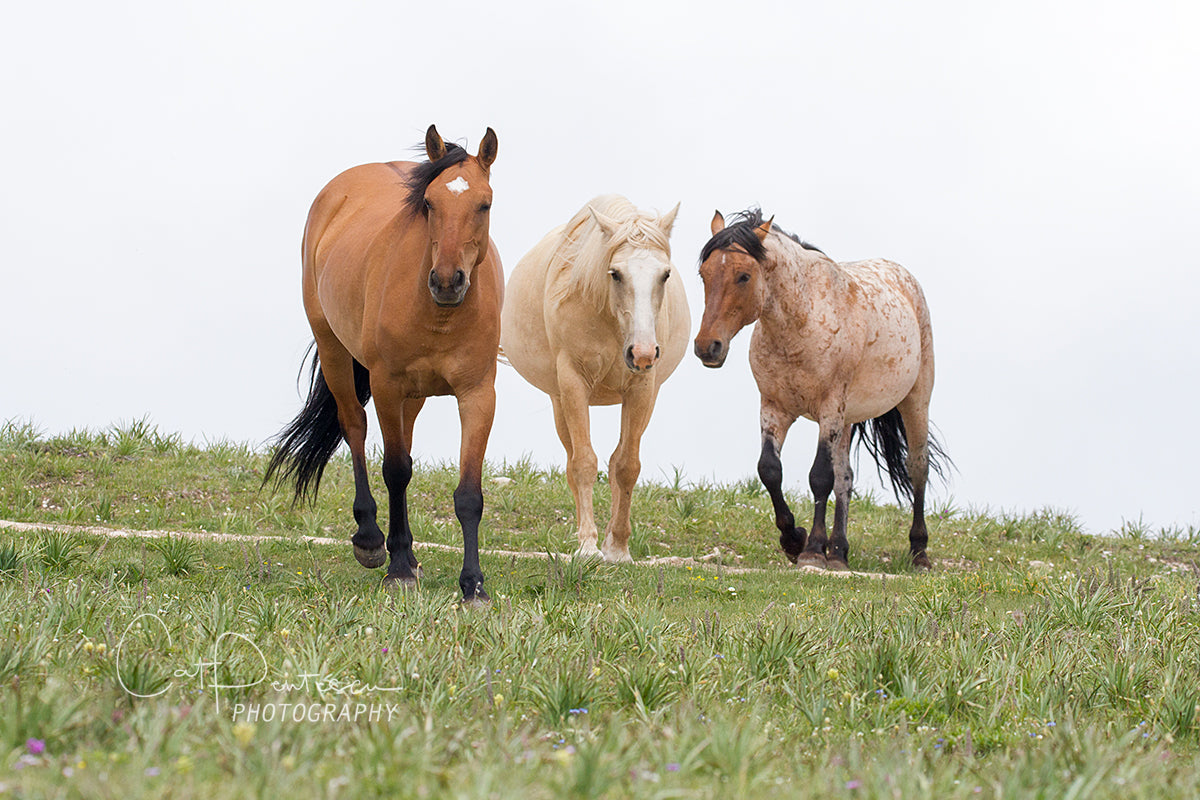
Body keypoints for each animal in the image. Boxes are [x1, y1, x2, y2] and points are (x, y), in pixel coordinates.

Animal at [264, 123, 501, 599]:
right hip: (335, 350)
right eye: (429, 203)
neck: (440, 315)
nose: (446, 281)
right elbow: (395, 471)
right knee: (355, 426)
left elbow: (469, 494)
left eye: (483, 204)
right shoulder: (387, 384)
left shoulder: (478, 394)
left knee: (402, 444)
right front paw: (397, 569)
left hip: (415, 394)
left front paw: (473, 585)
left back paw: (408, 552)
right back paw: (374, 540)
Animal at [499, 196, 691, 561]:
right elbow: (584, 463)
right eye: (615, 274)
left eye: (665, 274)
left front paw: (617, 547)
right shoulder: (573, 383)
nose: (643, 353)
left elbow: (626, 466)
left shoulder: (641, 388)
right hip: (559, 401)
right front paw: (588, 546)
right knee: (573, 461)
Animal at [696, 206, 945, 568]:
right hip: (848, 418)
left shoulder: (829, 409)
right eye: (704, 274)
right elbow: (770, 470)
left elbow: (820, 477)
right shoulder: (774, 408)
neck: (802, 322)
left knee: (917, 468)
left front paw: (812, 550)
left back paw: (919, 552)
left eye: (744, 276)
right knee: (846, 478)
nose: (707, 347)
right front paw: (793, 540)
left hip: (914, 401)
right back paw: (839, 551)